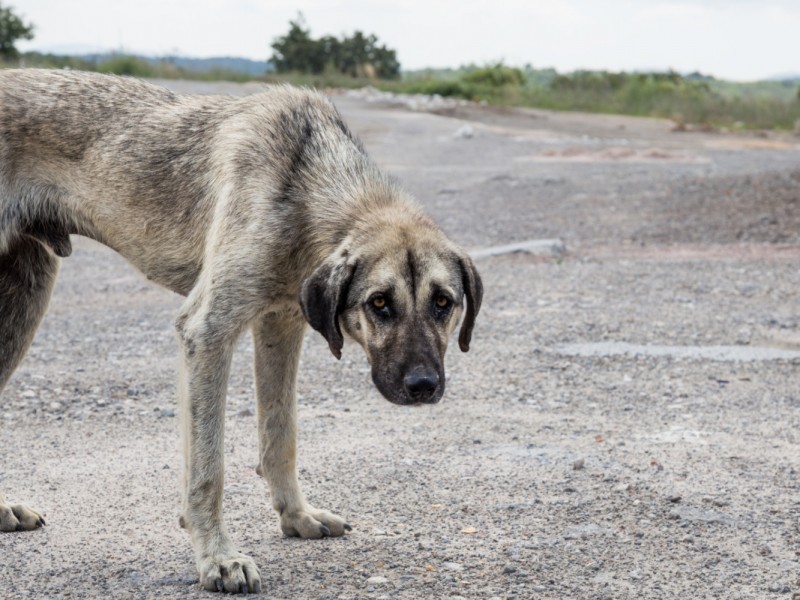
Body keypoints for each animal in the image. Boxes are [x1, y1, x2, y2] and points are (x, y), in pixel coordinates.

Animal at [0, 69, 482, 592]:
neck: (306, 182)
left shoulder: (281, 325)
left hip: (23, 302)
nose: (423, 386)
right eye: (379, 303)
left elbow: (280, 436)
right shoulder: (207, 331)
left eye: (443, 303)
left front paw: (296, 516)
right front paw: (217, 557)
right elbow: (208, 468)